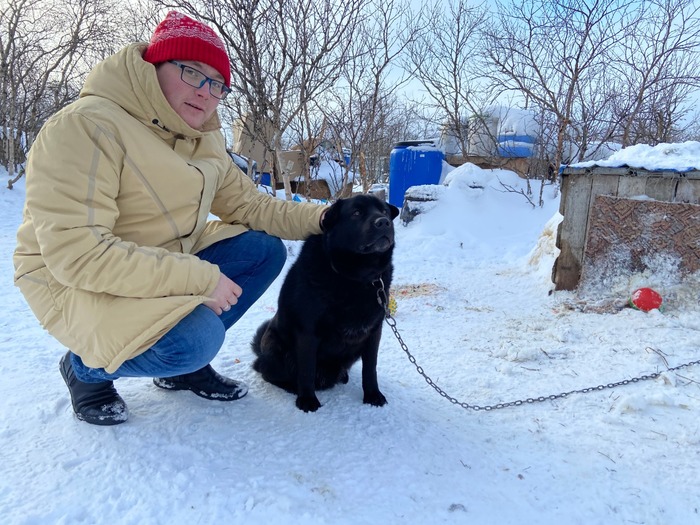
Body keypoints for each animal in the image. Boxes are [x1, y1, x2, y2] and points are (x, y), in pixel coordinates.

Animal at [252, 194, 396, 412]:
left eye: (384, 211)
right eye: (356, 213)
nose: (384, 222)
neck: (356, 278)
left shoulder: (374, 332)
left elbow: (370, 368)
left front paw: (373, 395)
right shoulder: (308, 332)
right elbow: (307, 370)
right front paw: (307, 400)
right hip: (275, 347)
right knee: (267, 372)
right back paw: (291, 387)